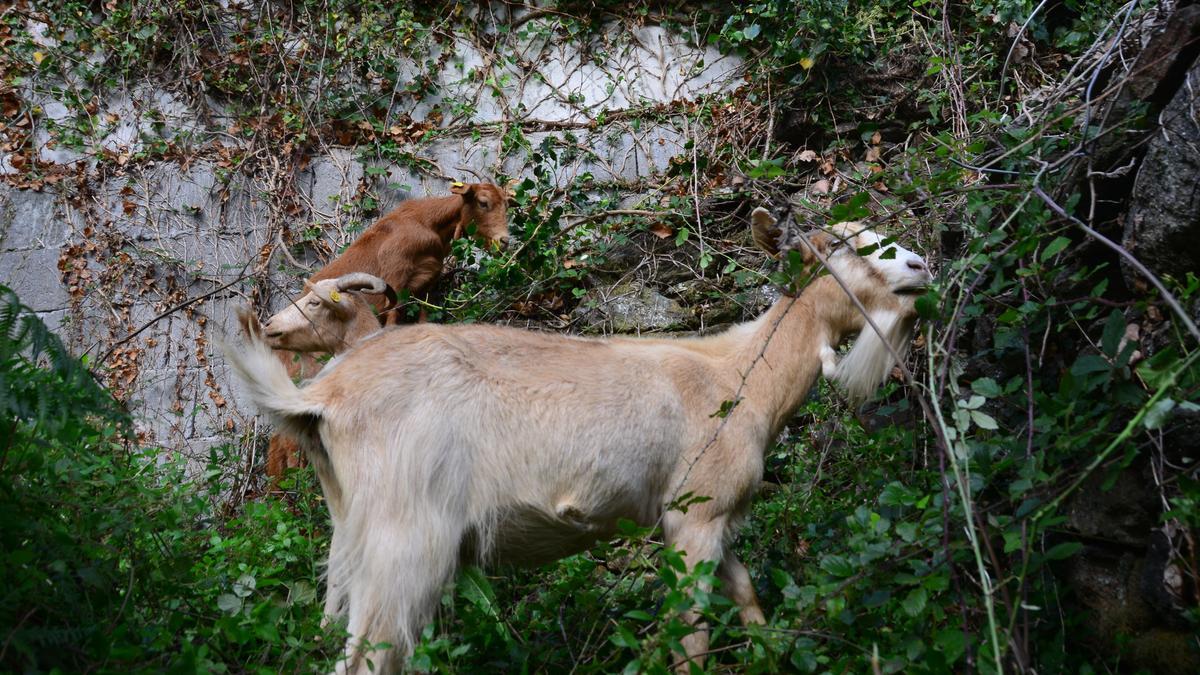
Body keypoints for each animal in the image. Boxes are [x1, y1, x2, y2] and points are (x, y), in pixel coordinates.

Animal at [267, 182, 511, 478]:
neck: (426, 223)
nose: (505, 241)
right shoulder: (396, 281)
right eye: (483, 202)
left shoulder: (423, 288)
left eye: (506, 203)